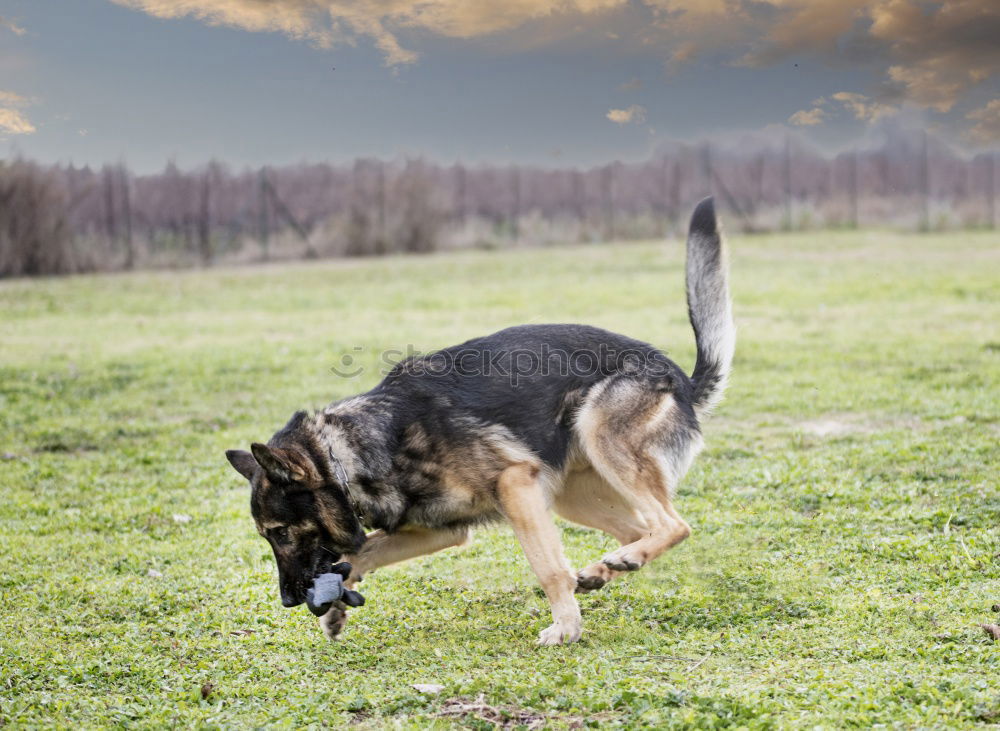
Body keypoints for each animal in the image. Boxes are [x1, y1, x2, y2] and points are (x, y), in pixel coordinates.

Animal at [227, 196, 736, 648]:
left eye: (279, 533)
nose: (289, 600)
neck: (353, 454)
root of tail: (682, 379)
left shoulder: (515, 485)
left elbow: (547, 568)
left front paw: (565, 629)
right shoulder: (444, 527)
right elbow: (360, 550)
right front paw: (335, 609)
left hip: (599, 437)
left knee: (673, 525)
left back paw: (617, 564)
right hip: (571, 495)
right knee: (637, 528)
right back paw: (605, 568)